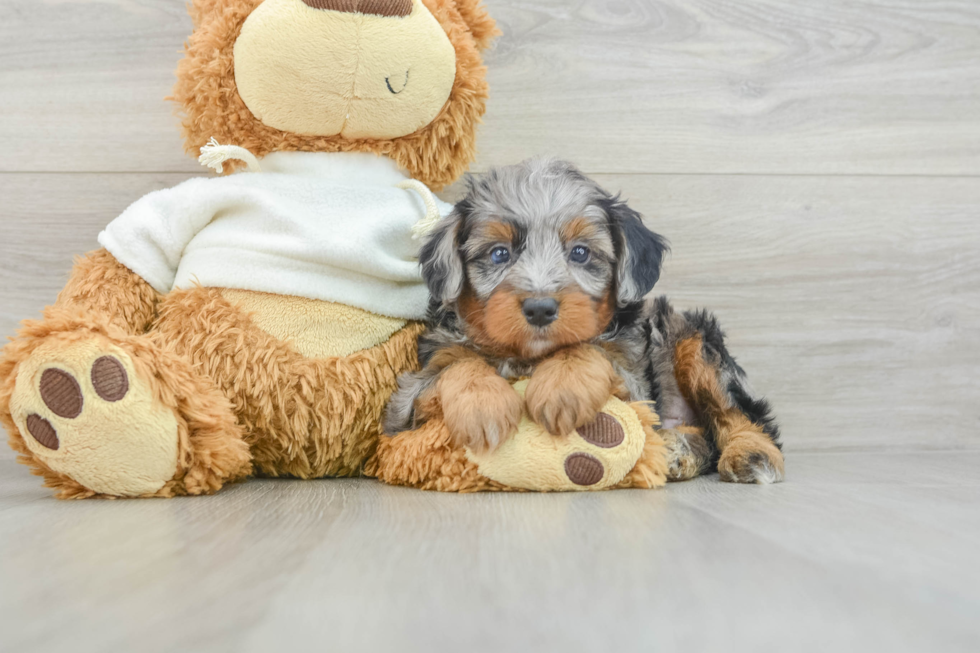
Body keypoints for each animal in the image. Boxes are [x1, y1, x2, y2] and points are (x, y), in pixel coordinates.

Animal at [386, 159, 784, 484]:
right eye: (499, 254)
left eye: (580, 252)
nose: (540, 308)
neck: (528, 356)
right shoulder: (407, 403)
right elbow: (456, 365)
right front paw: (482, 408)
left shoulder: (634, 386)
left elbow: (589, 348)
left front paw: (562, 388)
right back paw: (677, 451)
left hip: (691, 338)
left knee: (737, 411)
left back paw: (749, 452)